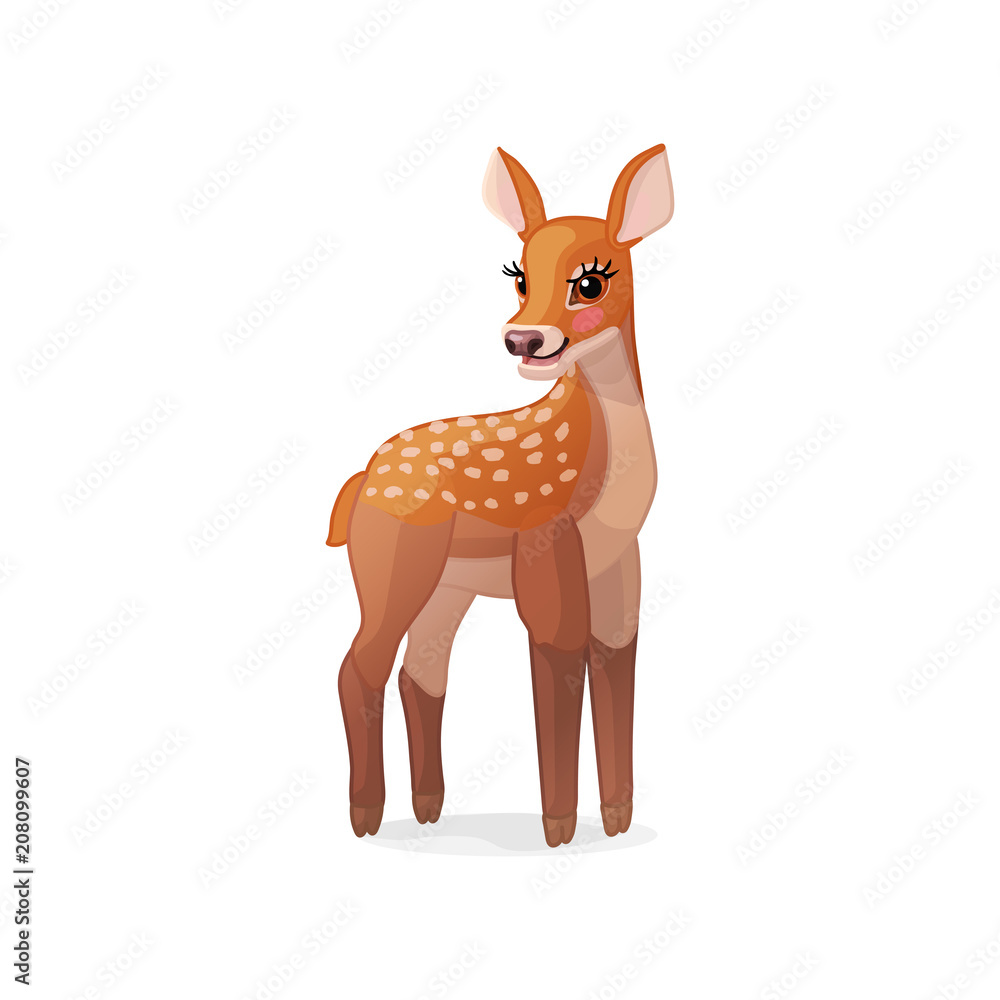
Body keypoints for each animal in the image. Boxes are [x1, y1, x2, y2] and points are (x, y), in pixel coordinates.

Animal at [327, 144, 673, 847]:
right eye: (517, 275)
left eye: (591, 280)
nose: (523, 339)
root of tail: (362, 479)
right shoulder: (545, 544)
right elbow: (560, 656)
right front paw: (559, 829)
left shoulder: (620, 564)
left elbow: (614, 659)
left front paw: (618, 821)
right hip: (393, 561)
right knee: (359, 666)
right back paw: (367, 817)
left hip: (448, 585)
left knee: (420, 673)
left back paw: (428, 808)